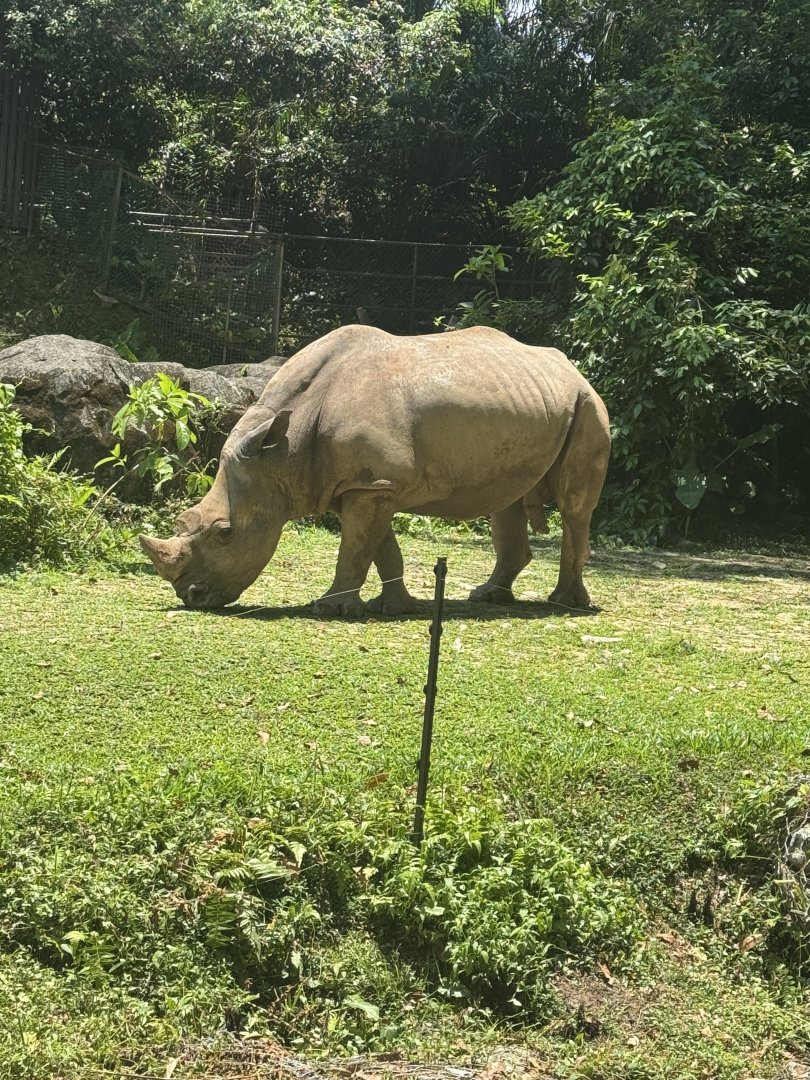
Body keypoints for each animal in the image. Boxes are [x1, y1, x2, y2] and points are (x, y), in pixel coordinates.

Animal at [140, 325, 610, 616]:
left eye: (225, 533)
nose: (191, 596)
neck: (281, 450)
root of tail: (572, 368)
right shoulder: (367, 482)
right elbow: (378, 547)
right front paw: (396, 607)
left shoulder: (371, 484)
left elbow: (355, 547)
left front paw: (329, 609)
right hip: (530, 403)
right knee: (507, 501)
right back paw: (488, 597)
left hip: (588, 405)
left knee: (574, 508)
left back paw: (565, 604)